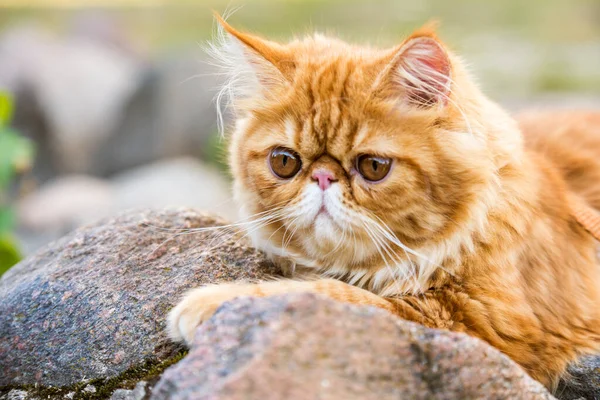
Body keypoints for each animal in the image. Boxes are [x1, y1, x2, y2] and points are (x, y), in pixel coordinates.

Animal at [166, 14, 600, 390]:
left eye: (373, 167)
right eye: (284, 162)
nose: (323, 177)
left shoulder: (481, 323)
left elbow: (333, 294)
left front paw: (209, 302)